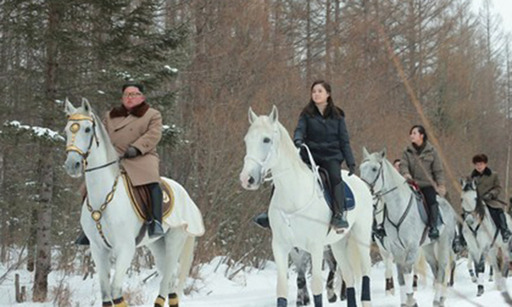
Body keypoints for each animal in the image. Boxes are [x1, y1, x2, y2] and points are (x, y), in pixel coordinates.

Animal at [61, 99, 202, 307]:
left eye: (87, 129)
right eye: (66, 130)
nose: (72, 165)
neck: (105, 198)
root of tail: (185, 194)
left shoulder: (125, 249)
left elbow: (116, 292)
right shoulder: (98, 249)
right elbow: (106, 293)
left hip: (174, 240)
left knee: (168, 278)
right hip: (156, 245)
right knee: (170, 278)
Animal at [240, 106, 372, 307]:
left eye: (266, 139)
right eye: (247, 140)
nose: (247, 179)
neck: (294, 196)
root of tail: (361, 183)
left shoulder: (315, 247)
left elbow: (317, 287)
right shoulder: (281, 247)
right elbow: (283, 288)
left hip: (361, 237)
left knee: (365, 272)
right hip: (338, 244)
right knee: (348, 276)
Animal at [358, 148, 458, 306]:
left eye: (374, 169)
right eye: (361, 168)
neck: (398, 208)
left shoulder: (411, 247)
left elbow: (408, 272)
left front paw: (411, 299)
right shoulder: (395, 248)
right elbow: (400, 276)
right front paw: (404, 301)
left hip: (443, 244)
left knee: (442, 270)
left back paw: (438, 299)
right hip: (428, 248)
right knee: (435, 270)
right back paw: (439, 298)